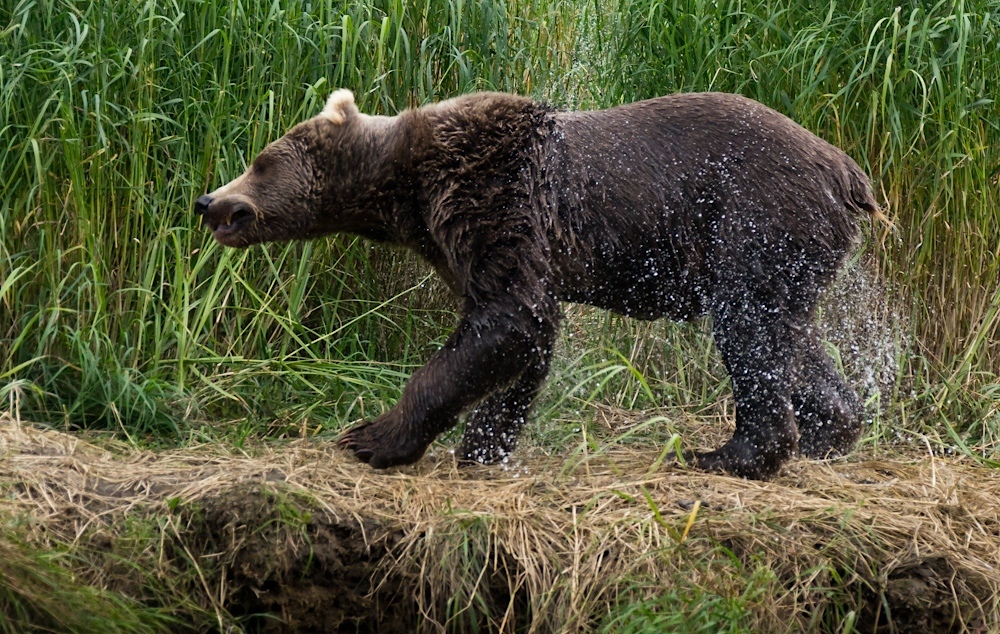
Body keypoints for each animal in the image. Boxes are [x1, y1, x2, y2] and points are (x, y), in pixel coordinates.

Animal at [195, 86, 876, 476]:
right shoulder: (475, 238)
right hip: (795, 256)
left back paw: (726, 454)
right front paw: (483, 444)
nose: (208, 201)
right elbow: (523, 334)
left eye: (259, 161)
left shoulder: (491, 190)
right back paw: (828, 431)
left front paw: (372, 437)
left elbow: (508, 317)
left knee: (750, 332)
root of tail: (848, 172)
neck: (408, 190)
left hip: (752, 220)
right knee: (789, 339)